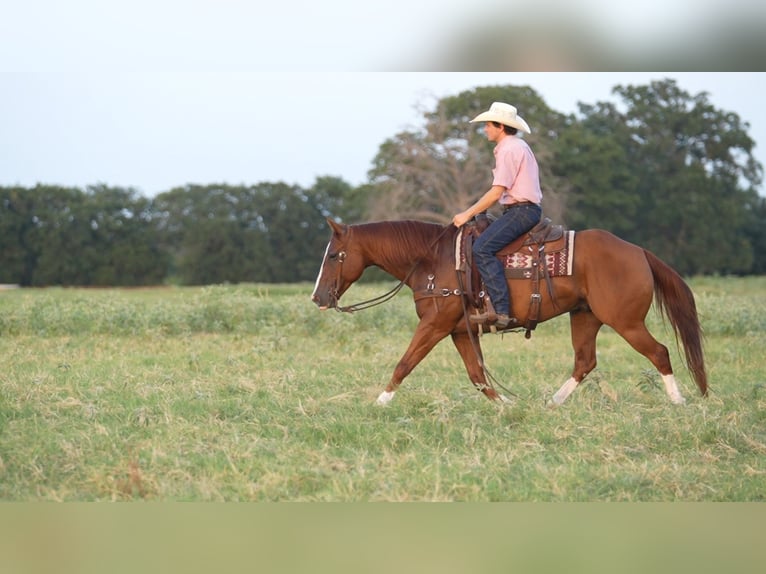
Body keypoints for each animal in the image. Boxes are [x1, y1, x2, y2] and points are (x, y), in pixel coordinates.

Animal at [311, 218, 707, 407]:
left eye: (334, 255)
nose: (317, 297)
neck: (433, 259)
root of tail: (639, 251)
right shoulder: (458, 330)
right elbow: (478, 375)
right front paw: (505, 406)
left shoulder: (435, 324)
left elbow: (404, 363)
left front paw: (378, 403)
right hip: (585, 316)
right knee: (584, 361)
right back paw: (552, 404)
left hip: (625, 321)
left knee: (659, 352)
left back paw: (680, 401)